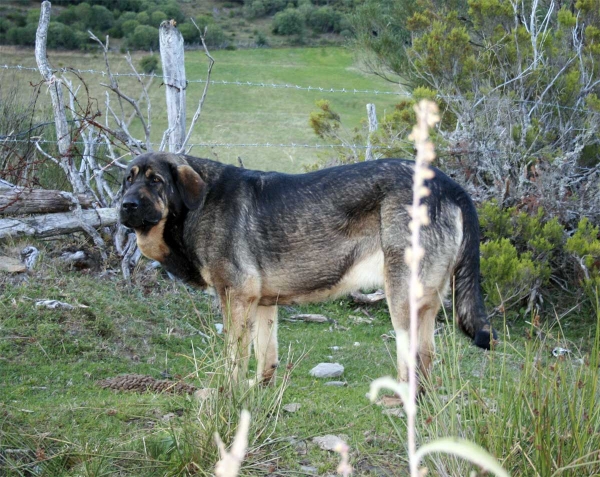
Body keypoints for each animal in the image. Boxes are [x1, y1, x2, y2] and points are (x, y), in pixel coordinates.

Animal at [119, 152, 494, 384]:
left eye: (156, 180)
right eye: (128, 179)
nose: (125, 205)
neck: (196, 204)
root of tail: (450, 185)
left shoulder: (235, 297)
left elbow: (233, 357)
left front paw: (227, 391)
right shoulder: (262, 303)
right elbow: (265, 356)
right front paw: (257, 389)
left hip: (400, 297)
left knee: (416, 359)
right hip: (421, 302)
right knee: (425, 359)